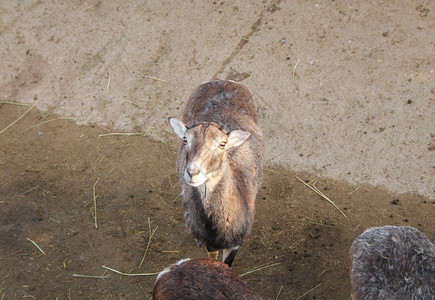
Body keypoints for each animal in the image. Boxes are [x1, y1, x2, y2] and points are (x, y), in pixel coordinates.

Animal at [169, 79, 264, 264]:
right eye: (185, 139)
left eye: (222, 144)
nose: (192, 172)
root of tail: (224, 82)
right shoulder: (210, 244)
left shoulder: (235, 244)